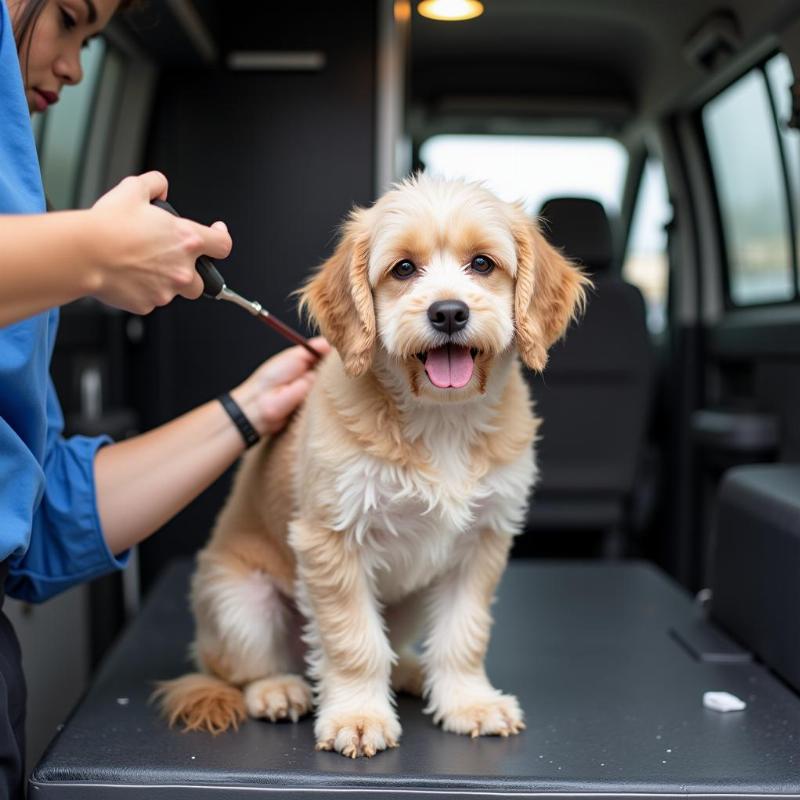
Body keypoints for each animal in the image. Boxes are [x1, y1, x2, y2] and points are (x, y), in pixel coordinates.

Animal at [155, 173, 588, 756]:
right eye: (403, 269)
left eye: (482, 263)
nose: (448, 312)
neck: (441, 420)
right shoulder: (332, 540)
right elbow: (353, 642)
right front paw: (358, 716)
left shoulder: (481, 544)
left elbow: (464, 635)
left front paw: (467, 701)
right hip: (239, 603)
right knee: (241, 669)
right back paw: (278, 689)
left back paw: (410, 672)